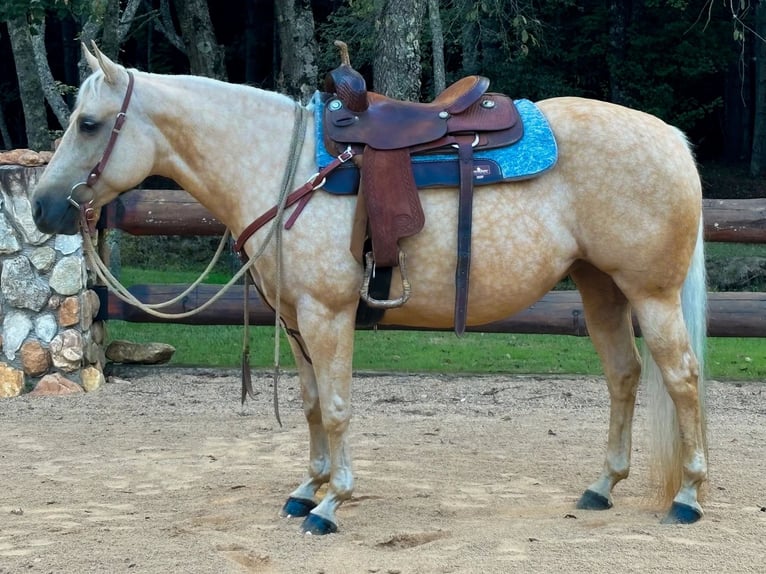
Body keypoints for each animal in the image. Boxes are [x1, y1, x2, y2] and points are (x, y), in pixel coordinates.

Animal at [32, 44, 708, 535]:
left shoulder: (327, 314)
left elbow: (336, 408)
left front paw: (334, 504)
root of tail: (670, 136)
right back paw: (602, 486)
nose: (41, 207)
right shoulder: (295, 319)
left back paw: (689, 496)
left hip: (651, 293)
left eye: (88, 124)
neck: (284, 169)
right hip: (600, 288)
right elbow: (310, 406)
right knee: (624, 375)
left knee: (681, 378)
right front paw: (307, 491)